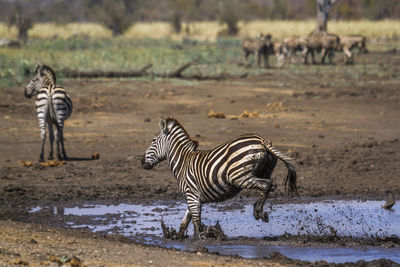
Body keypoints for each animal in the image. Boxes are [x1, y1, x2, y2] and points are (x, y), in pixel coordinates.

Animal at [141, 117, 296, 241]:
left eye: (153, 141)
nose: (142, 162)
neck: (183, 162)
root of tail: (262, 140)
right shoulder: (193, 196)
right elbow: (185, 221)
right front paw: (177, 237)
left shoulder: (191, 194)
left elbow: (196, 223)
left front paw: (200, 240)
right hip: (263, 171)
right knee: (269, 185)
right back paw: (259, 211)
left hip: (240, 177)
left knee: (267, 185)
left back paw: (258, 212)